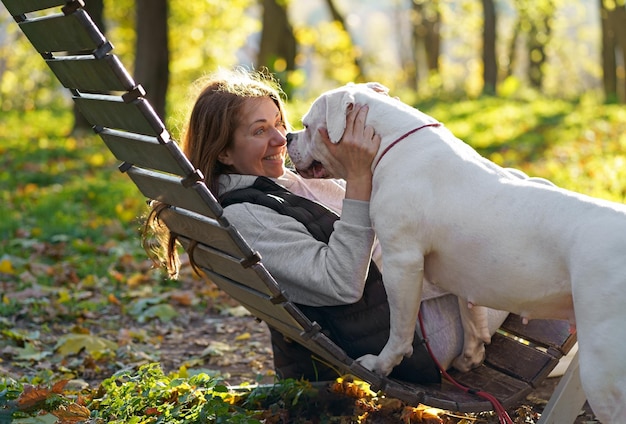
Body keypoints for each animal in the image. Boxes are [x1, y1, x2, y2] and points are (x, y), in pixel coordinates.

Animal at [286, 82, 624, 420]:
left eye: (306, 126)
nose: (288, 136)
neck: (393, 145)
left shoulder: (401, 263)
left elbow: (400, 328)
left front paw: (382, 364)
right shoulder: (466, 272)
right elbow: (470, 317)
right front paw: (470, 358)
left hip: (600, 367)